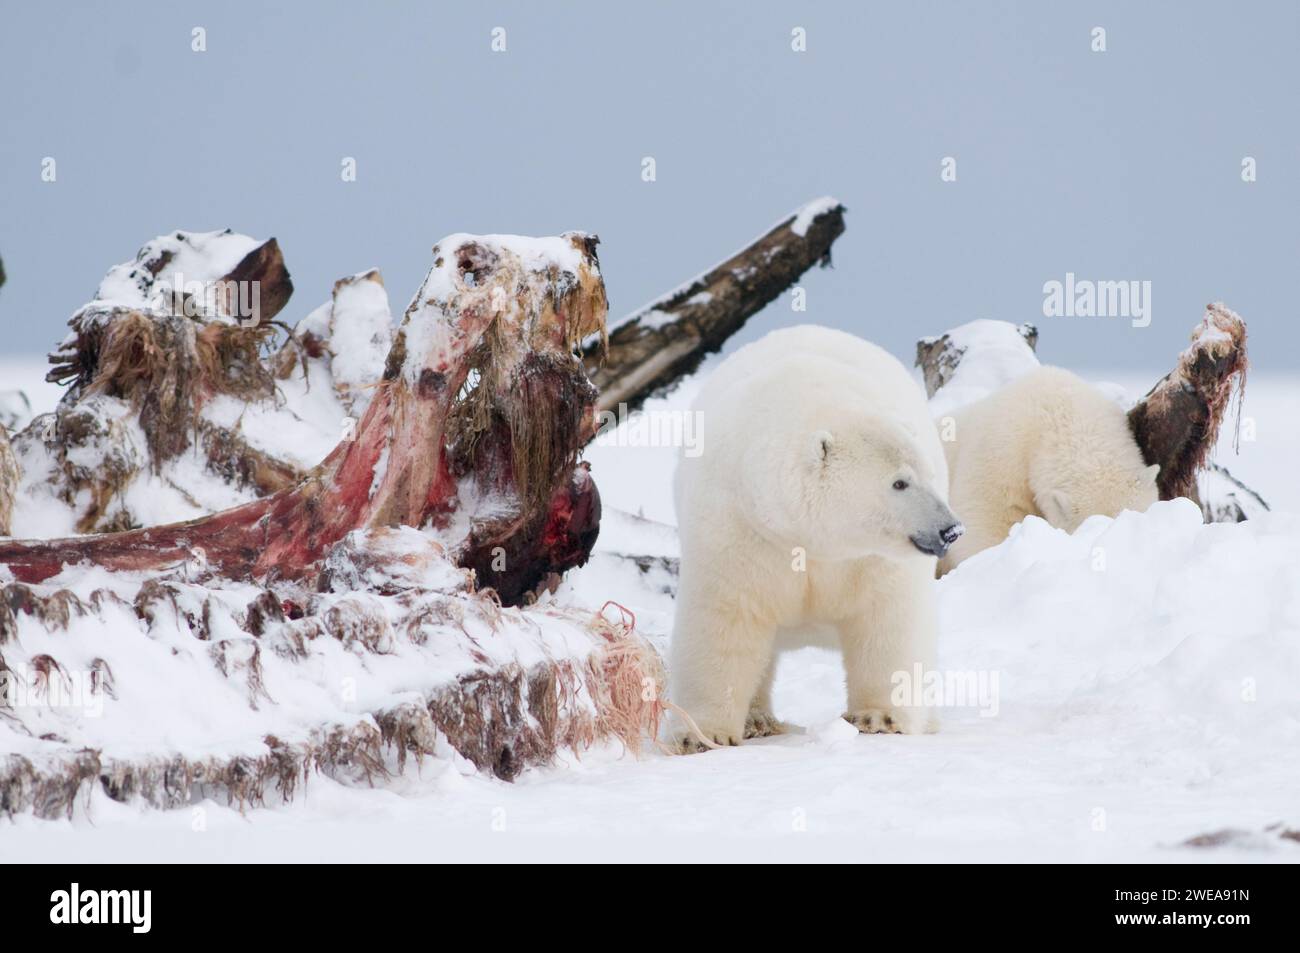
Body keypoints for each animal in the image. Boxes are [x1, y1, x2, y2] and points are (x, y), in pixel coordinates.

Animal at [670, 325, 956, 748]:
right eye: (899, 482)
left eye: (930, 475)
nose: (950, 529)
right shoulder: (740, 529)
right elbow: (724, 618)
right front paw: (701, 735)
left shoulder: (870, 559)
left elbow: (888, 619)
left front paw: (878, 717)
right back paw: (757, 720)